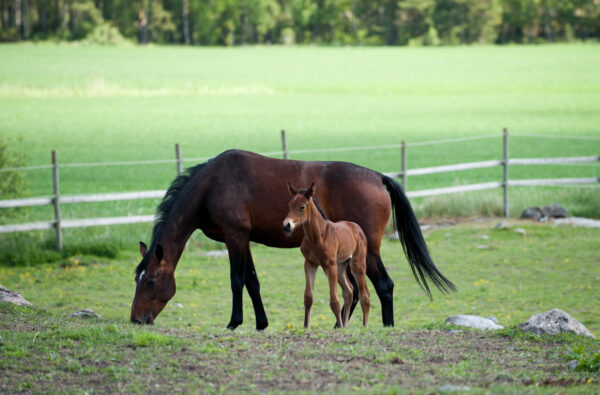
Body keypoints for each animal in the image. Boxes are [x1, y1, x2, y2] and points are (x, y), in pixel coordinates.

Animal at [282, 184, 370, 330]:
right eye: (289, 205)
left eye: (302, 207)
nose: (286, 226)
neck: (317, 236)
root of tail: (356, 227)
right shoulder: (310, 263)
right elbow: (308, 297)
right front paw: (306, 326)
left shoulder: (330, 265)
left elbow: (334, 301)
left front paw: (338, 326)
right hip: (341, 266)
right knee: (349, 291)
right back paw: (345, 326)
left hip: (357, 265)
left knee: (364, 295)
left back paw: (364, 326)